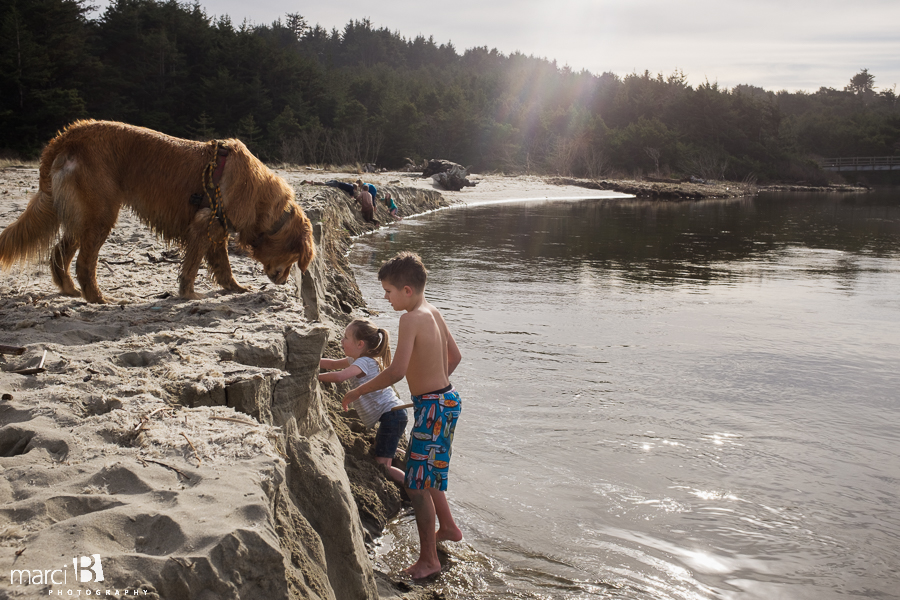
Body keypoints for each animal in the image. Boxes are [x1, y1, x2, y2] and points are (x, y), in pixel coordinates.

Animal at [0, 119, 316, 302]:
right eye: (295, 258)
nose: (284, 281)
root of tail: (67, 136)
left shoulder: (217, 227)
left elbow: (223, 267)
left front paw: (235, 288)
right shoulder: (205, 223)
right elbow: (192, 267)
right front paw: (189, 294)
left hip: (82, 216)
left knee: (59, 253)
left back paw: (69, 290)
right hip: (100, 214)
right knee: (84, 264)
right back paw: (99, 298)